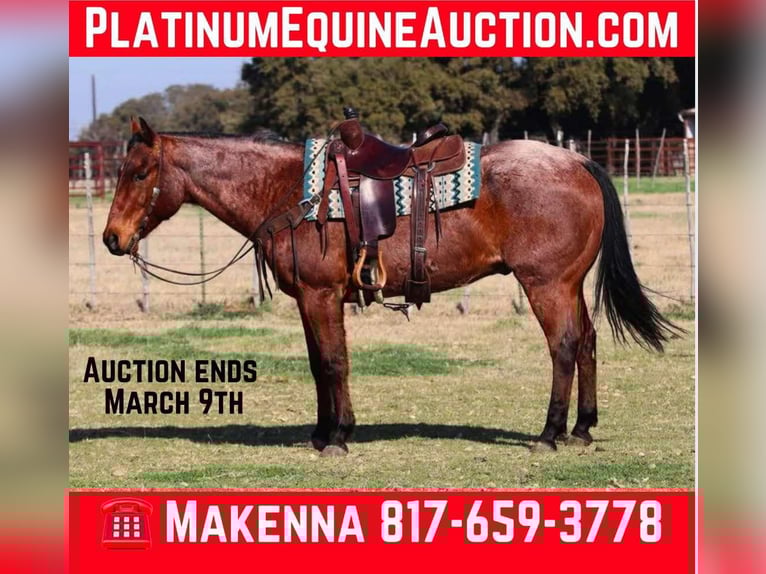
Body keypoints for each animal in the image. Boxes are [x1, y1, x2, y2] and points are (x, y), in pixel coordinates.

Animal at [103, 117, 680, 456]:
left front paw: (339, 436)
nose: (112, 238)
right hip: (570, 284)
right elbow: (317, 365)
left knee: (563, 346)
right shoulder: (312, 299)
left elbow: (334, 361)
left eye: (139, 173)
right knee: (587, 342)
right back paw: (582, 428)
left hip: (547, 284)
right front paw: (321, 432)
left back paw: (549, 435)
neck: (288, 191)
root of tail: (578, 161)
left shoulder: (321, 296)